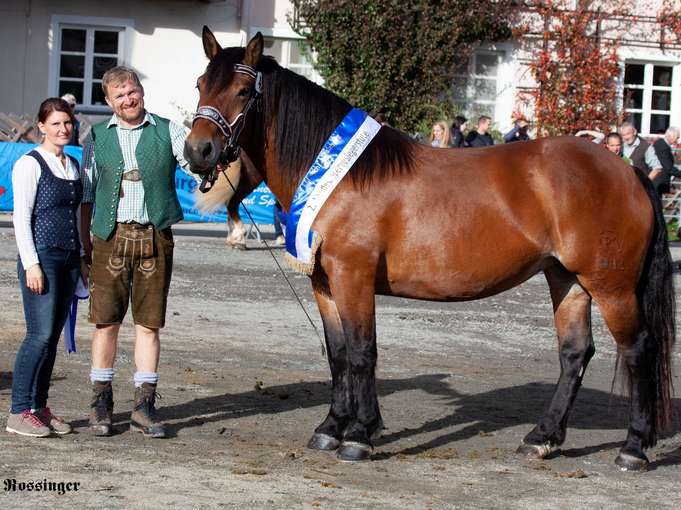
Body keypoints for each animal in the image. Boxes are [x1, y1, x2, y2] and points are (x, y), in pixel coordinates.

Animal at [182, 28, 676, 470]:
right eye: (201, 84)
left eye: (243, 91)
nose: (198, 151)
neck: (341, 176)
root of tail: (626, 170)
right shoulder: (324, 283)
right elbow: (338, 353)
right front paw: (330, 427)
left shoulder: (353, 276)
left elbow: (362, 351)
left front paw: (359, 436)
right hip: (567, 279)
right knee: (574, 353)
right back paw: (542, 438)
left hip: (610, 285)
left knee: (639, 349)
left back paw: (633, 448)